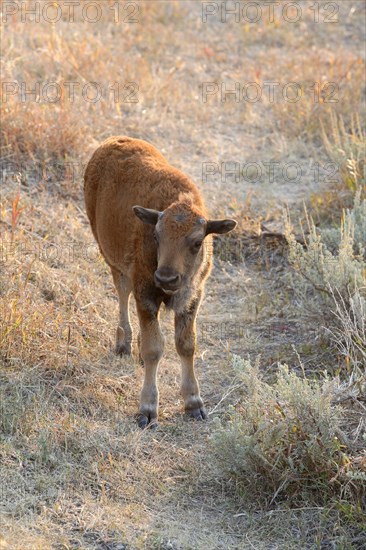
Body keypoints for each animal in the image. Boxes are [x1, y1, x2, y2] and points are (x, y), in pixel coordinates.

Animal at [84, 136, 236, 430]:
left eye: (197, 242)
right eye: (156, 236)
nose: (166, 277)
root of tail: (112, 141)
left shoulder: (193, 296)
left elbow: (186, 344)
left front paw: (194, 404)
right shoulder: (145, 293)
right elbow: (154, 348)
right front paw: (147, 410)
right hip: (110, 256)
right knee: (122, 294)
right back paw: (124, 344)